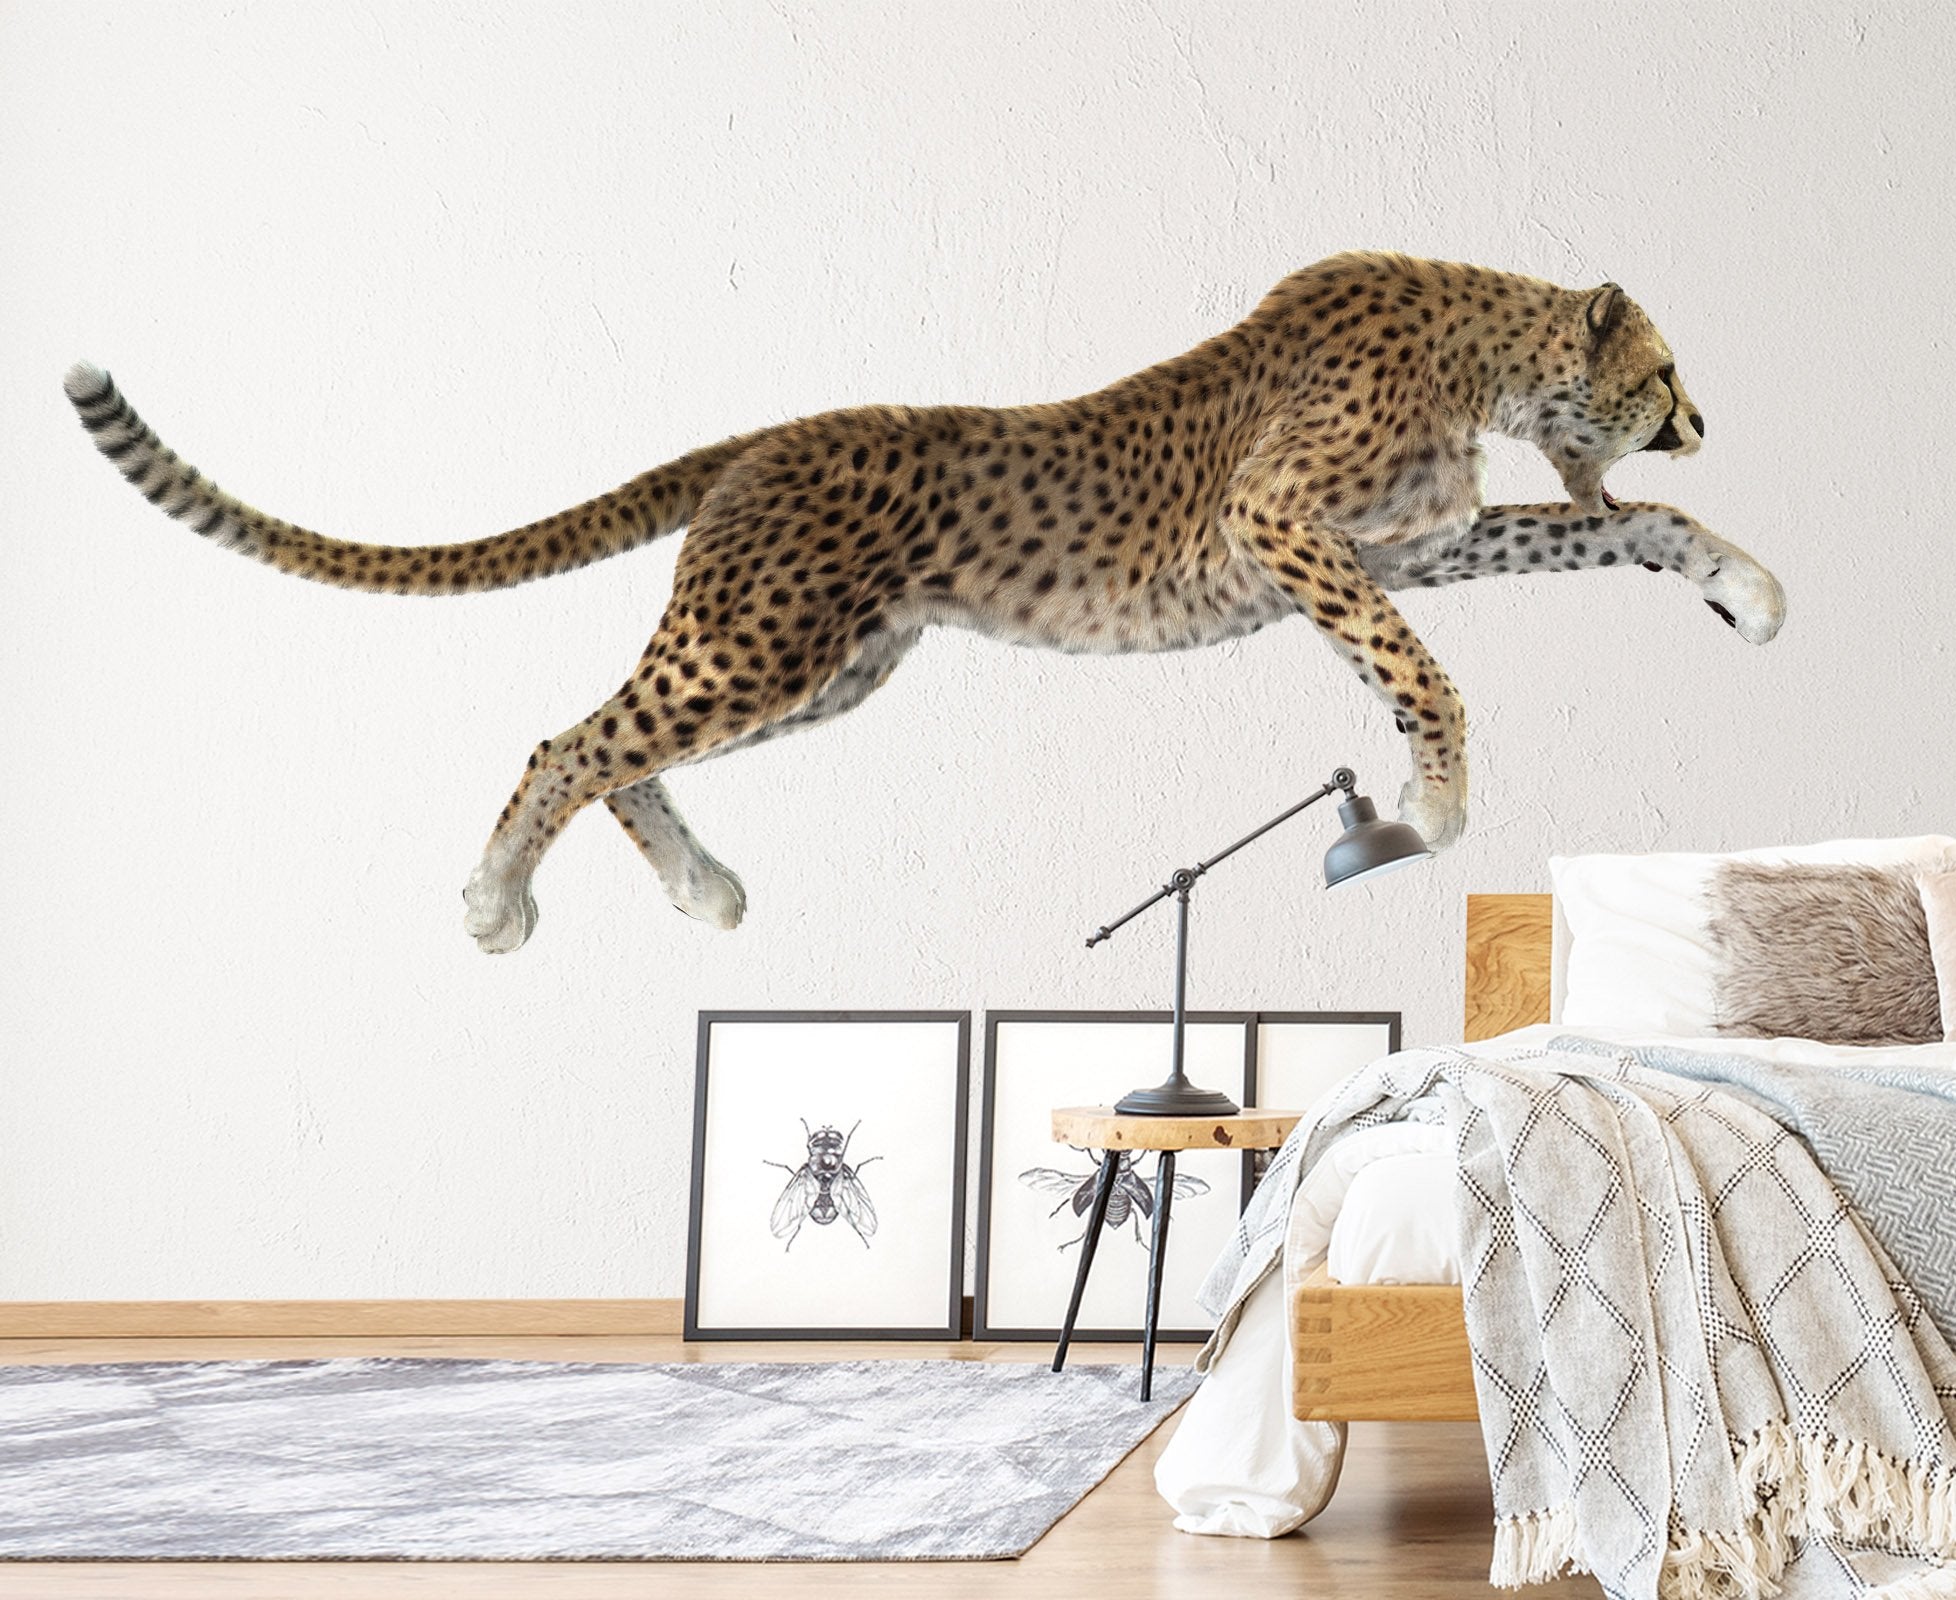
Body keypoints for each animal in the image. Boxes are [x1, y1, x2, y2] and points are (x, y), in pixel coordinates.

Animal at [64, 251, 1785, 955]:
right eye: (1669, 375)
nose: (1705, 417)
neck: (1486, 351)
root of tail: (768, 434)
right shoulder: (1290, 528)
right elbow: (1422, 671)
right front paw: (1430, 806)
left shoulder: (1407, 544)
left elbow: (1614, 536)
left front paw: (1744, 585)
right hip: (763, 647)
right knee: (571, 740)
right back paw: (495, 902)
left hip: (830, 669)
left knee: (619, 752)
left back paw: (699, 889)